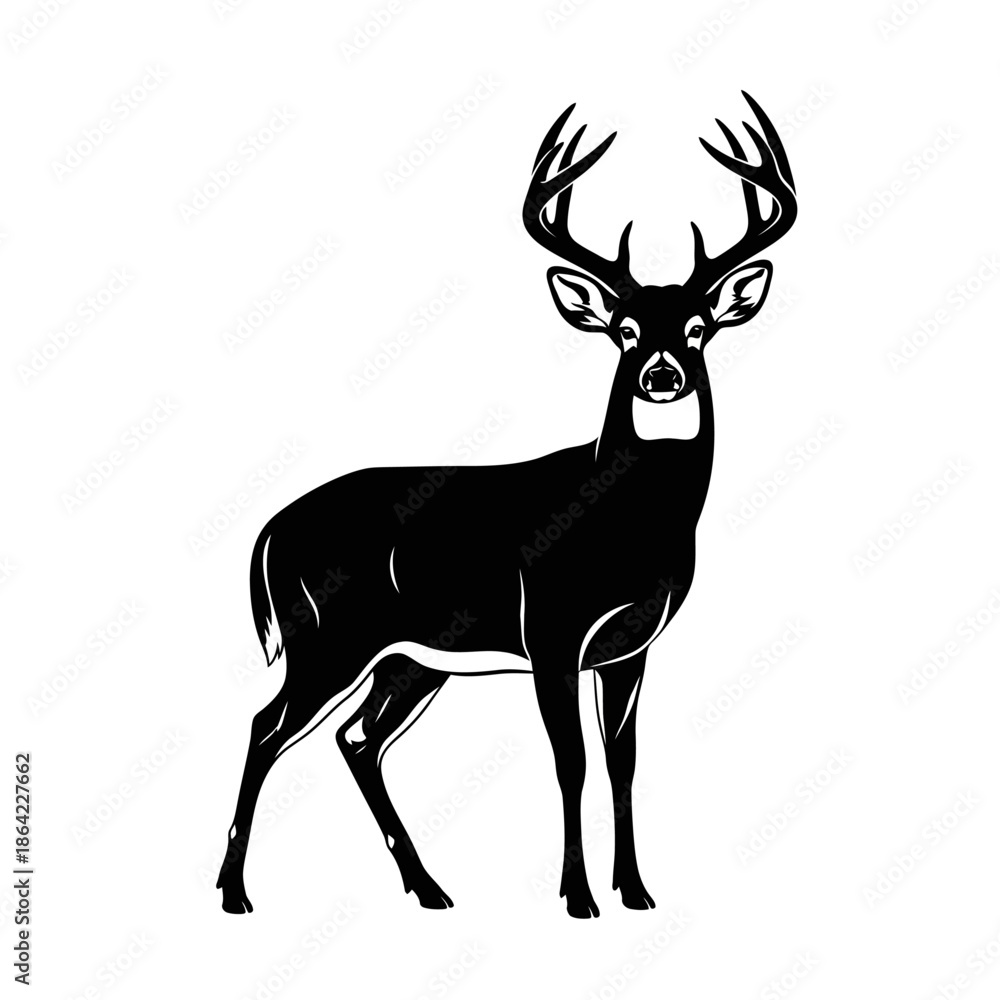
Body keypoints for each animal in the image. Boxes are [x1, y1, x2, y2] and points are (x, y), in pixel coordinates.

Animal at [216, 92, 797, 919]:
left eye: (698, 328)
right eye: (624, 330)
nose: (660, 375)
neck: (629, 525)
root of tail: (267, 531)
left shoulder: (629, 646)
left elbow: (622, 759)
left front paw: (636, 891)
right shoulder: (551, 628)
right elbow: (571, 762)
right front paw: (578, 897)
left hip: (410, 658)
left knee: (357, 739)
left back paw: (429, 889)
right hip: (328, 635)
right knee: (267, 726)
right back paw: (234, 893)